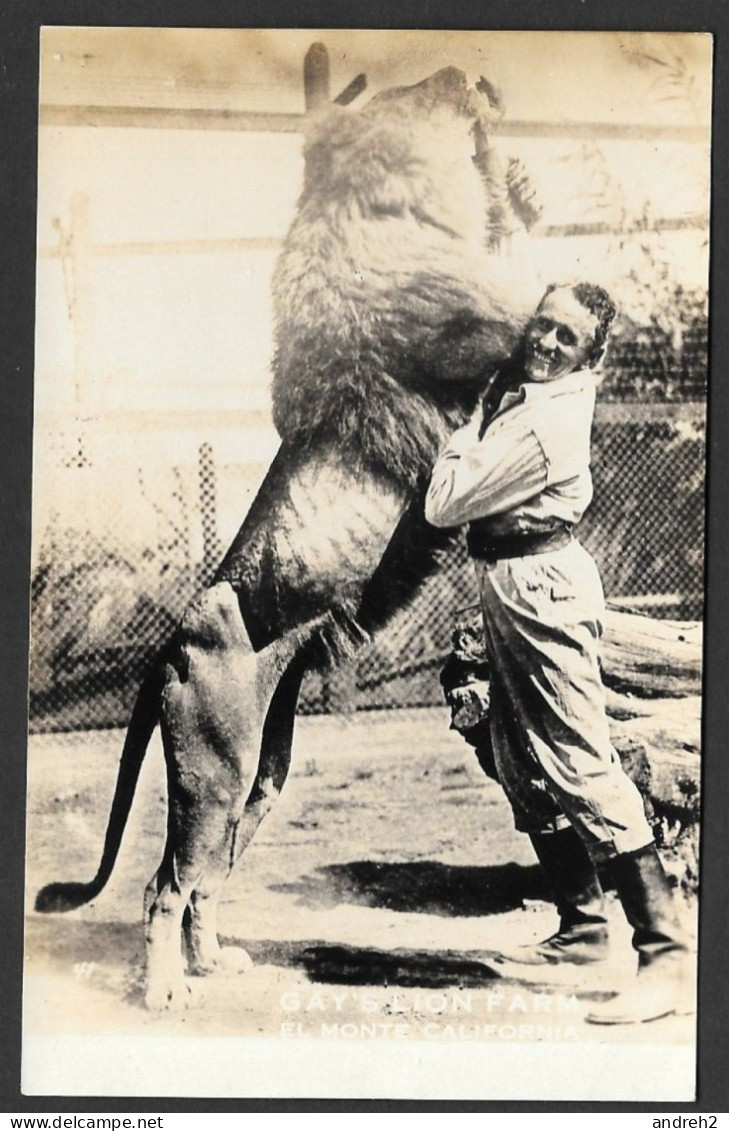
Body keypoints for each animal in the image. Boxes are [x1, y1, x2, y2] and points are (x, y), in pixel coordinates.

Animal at [34, 66, 540, 1013]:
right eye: (418, 86)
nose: (469, 75)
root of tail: (167, 643)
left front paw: (516, 180)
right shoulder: (475, 341)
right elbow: (528, 293)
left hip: (261, 767)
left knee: (205, 881)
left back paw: (213, 964)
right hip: (214, 765)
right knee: (165, 883)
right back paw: (164, 991)